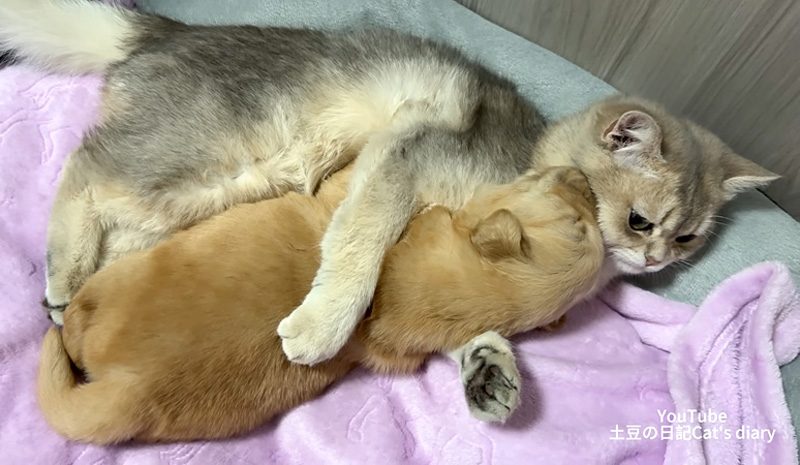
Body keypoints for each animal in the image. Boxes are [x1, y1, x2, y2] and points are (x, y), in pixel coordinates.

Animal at [36, 164, 600, 442]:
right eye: (581, 222)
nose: (585, 177)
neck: (398, 289)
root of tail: (128, 394)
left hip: (106, 287)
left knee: (70, 323)